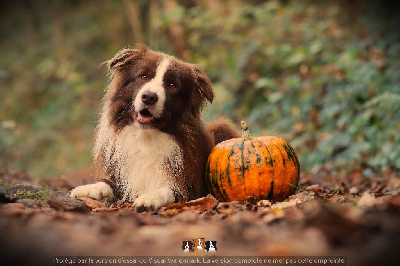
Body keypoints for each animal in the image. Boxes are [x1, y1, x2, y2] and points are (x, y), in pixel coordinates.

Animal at [69, 46, 238, 212]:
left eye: (172, 85)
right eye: (143, 76)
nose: (149, 97)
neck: (146, 136)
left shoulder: (191, 187)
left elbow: (168, 190)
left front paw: (150, 197)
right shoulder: (120, 176)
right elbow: (106, 184)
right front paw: (86, 189)